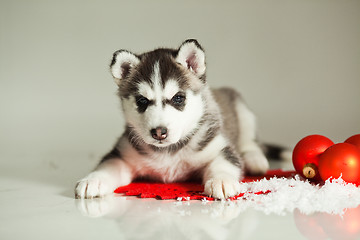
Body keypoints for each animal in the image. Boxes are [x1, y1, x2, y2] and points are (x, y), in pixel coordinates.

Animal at [76, 39, 272, 200]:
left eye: (178, 98)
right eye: (142, 101)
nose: (159, 132)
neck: (168, 152)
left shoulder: (219, 147)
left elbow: (224, 162)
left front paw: (221, 181)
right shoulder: (123, 155)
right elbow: (108, 166)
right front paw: (93, 180)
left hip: (243, 110)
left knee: (250, 142)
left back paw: (255, 160)